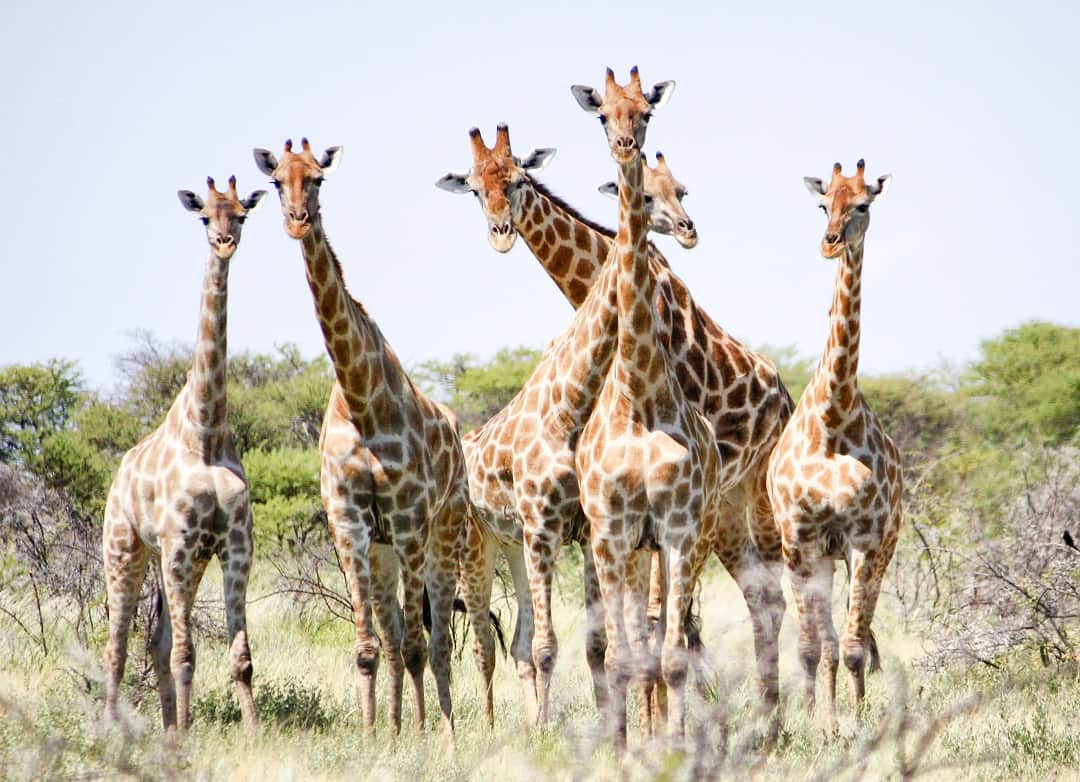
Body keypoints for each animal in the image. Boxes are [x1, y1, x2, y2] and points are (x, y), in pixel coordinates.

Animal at [102, 176, 265, 735]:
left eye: (242, 213)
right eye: (203, 217)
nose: (225, 242)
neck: (206, 428)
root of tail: (116, 478)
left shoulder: (233, 543)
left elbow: (240, 657)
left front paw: (253, 734)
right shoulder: (177, 540)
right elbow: (187, 655)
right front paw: (191, 737)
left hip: (187, 561)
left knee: (156, 641)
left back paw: (170, 729)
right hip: (126, 549)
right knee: (117, 646)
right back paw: (111, 730)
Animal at [253, 139, 467, 735]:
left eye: (318, 178)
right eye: (275, 181)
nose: (297, 221)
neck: (362, 396)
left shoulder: (410, 517)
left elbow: (418, 646)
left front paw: (424, 737)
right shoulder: (349, 522)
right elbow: (370, 648)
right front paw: (377, 736)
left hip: (442, 534)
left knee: (436, 642)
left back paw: (445, 730)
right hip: (386, 550)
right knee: (396, 637)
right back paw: (396, 726)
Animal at [438, 127, 792, 721]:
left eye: (518, 179)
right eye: (474, 188)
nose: (501, 233)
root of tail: (784, 395)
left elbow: (648, 621)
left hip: (744, 493)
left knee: (766, 596)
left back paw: (782, 711)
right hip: (720, 508)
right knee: (752, 596)